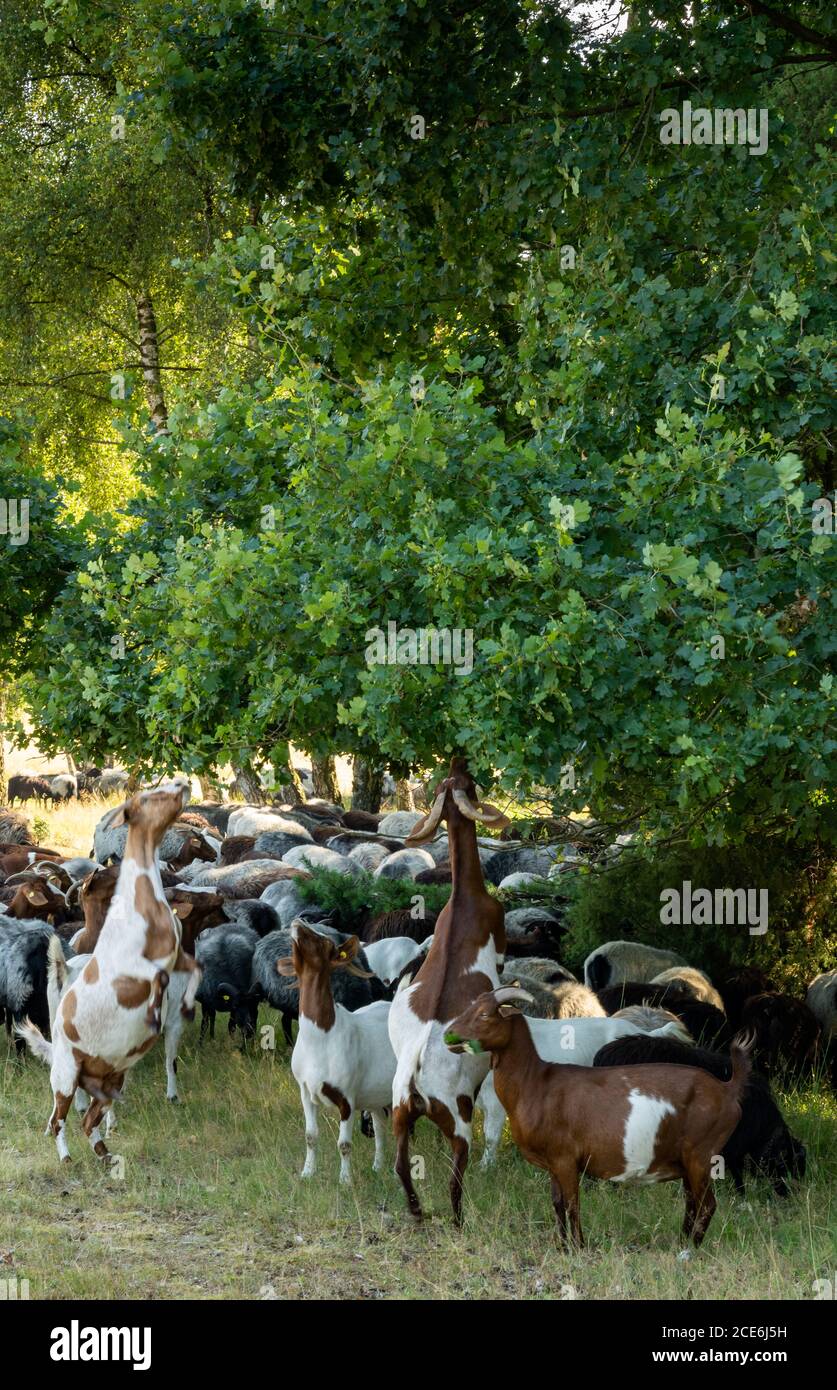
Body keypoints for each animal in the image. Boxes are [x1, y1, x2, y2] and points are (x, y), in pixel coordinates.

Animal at [16, 783, 200, 1162]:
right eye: (151, 797)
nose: (183, 785)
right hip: (66, 1074)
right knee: (60, 1117)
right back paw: (67, 1155)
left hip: (105, 1078)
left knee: (88, 1118)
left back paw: (104, 1154)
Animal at [276, 922, 394, 1184]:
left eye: (326, 942)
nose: (298, 922)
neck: (322, 1037)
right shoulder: (305, 1091)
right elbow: (310, 1136)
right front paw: (307, 1173)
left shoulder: (347, 1097)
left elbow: (344, 1144)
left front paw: (345, 1180)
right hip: (376, 1093)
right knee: (380, 1125)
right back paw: (378, 1166)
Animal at [386, 756, 508, 1223]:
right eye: (469, 784)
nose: (459, 758)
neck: (463, 900)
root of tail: (416, 1076)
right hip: (458, 1118)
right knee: (457, 1173)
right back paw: (457, 1219)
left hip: (400, 1115)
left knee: (401, 1165)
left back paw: (418, 1211)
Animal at [442, 984, 750, 1256]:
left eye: (484, 1014)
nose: (449, 1035)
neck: (536, 1081)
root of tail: (727, 1087)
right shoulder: (553, 1163)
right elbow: (557, 1203)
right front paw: (562, 1246)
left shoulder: (566, 1159)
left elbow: (572, 1204)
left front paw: (578, 1246)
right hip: (687, 1161)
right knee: (692, 1203)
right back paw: (681, 1243)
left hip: (701, 1155)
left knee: (707, 1204)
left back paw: (688, 1251)